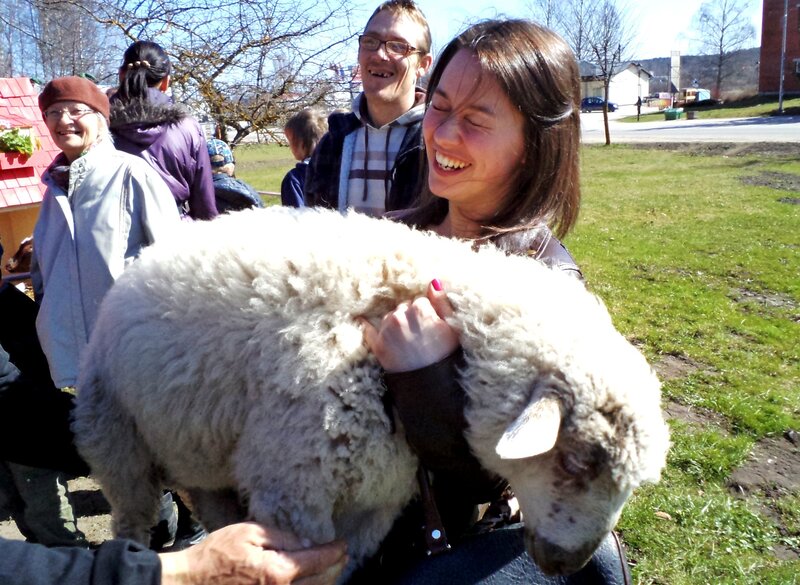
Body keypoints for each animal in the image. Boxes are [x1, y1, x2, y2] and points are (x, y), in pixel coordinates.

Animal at [73, 206, 669, 578]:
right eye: (573, 462)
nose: (568, 565)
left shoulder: (379, 499)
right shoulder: (292, 490)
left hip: (204, 452)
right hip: (115, 436)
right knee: (131, 513)